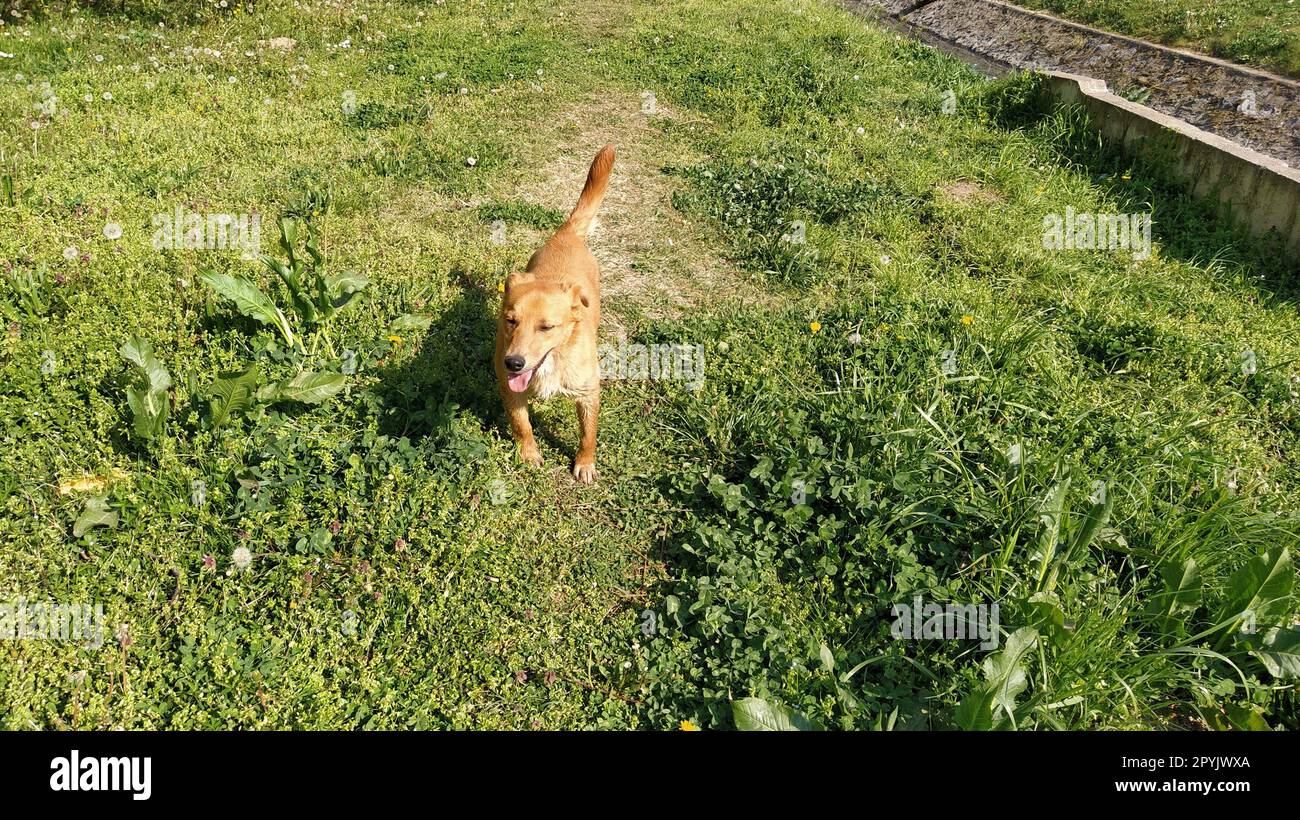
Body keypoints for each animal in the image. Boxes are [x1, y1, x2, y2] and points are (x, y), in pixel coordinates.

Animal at [496, 144, 618, 483]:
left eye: (546, 327)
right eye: (510, 321)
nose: (513, 362)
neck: (554, 360)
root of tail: (567, 233)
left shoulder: (589, 394)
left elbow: (589, 435)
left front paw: (585, 464)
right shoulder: (510, 390)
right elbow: (522, 426)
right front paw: (529, 454)